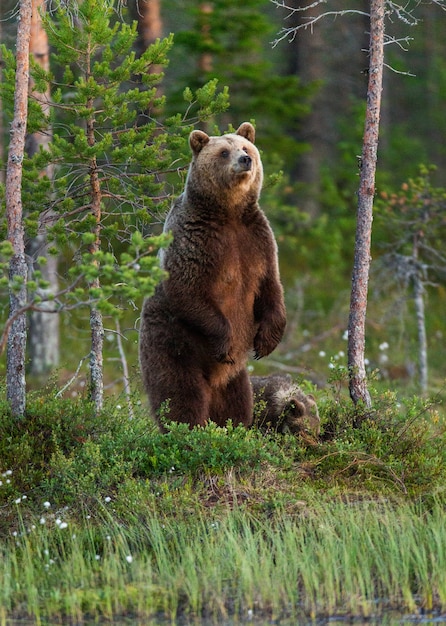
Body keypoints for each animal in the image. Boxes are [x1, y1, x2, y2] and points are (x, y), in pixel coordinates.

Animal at [139, 122, 286, 428]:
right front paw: (225, 342)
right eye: (223, 152)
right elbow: (189, 291)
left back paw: (233, 427)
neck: (228, 214)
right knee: (181, 395)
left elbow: (270, 285)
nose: (246, 160)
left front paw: (267, 341)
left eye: (245, 146)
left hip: (234, 378)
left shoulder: (257, 240)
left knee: (236, 402)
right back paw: (189, 429)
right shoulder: (197, 242)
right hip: (172, 343)